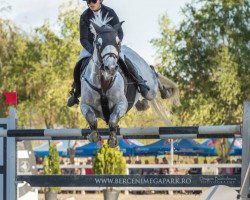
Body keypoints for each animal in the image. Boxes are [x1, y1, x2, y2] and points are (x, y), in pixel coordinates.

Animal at [80, 12, 178, 147]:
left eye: (118, 42)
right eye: (98, 44)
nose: (111, 67)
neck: (104, 82)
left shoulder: (122, 104)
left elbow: (113, 120)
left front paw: (112, 140)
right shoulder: (85, 105)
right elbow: (91, 118)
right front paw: (94, 135)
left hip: (150, 88)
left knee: (153, 78)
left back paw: (164, 92)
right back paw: (142, 104)